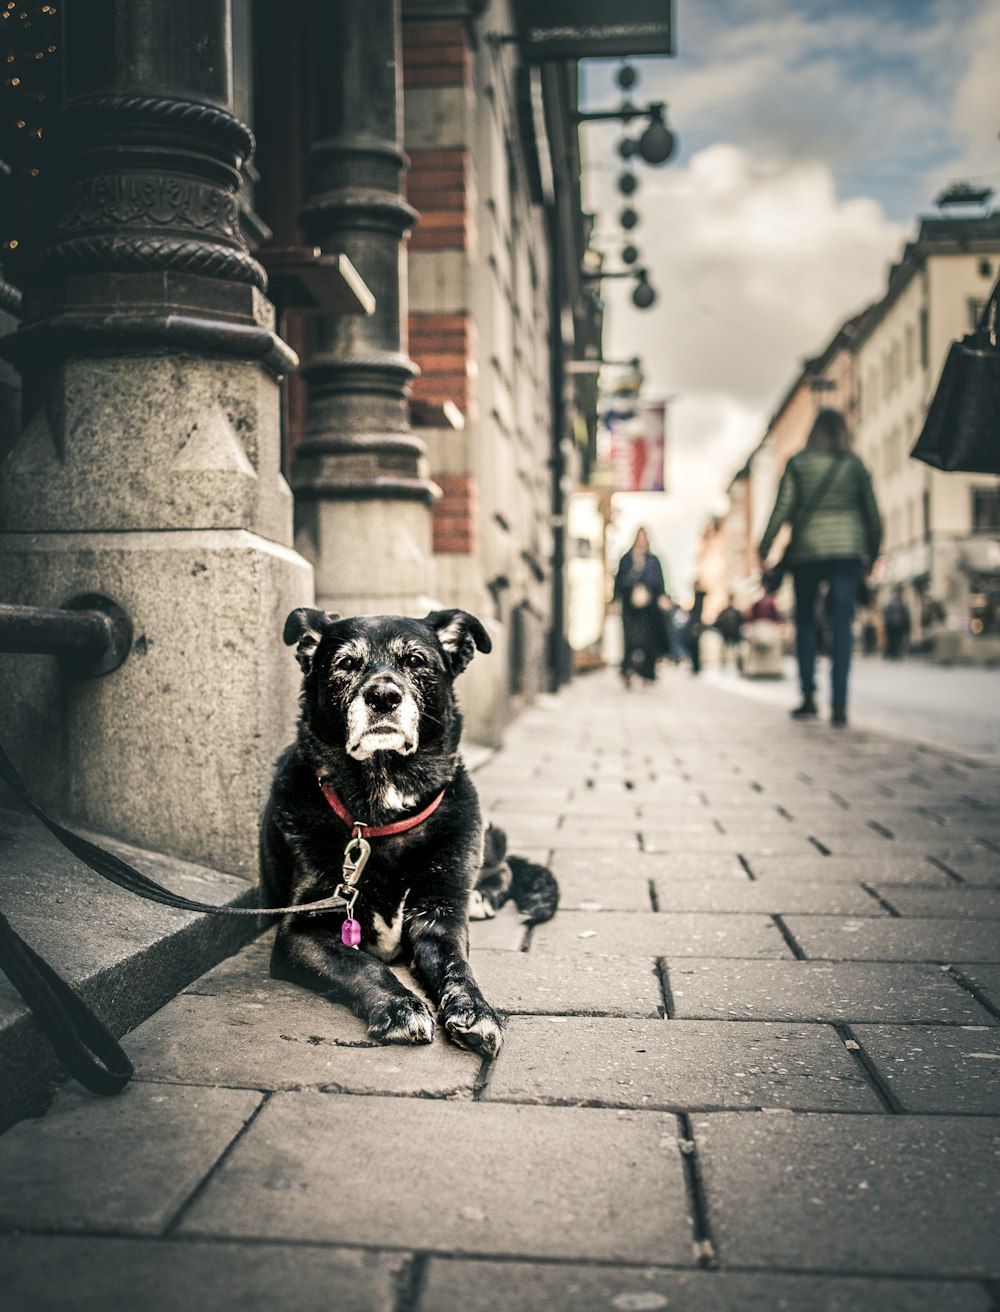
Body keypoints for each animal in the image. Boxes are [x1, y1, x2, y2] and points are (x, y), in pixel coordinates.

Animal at [258, 611, 553, 1054]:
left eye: (415, 660)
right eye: (345, 663)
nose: (383, 696)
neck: (381, 817)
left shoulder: (439, 921)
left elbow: (458, 968)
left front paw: (476, 1009)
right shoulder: (302, 929)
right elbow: (361, 963)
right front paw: (400, 1006)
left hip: (480, 833)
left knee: (503, 866)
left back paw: (481, 896)